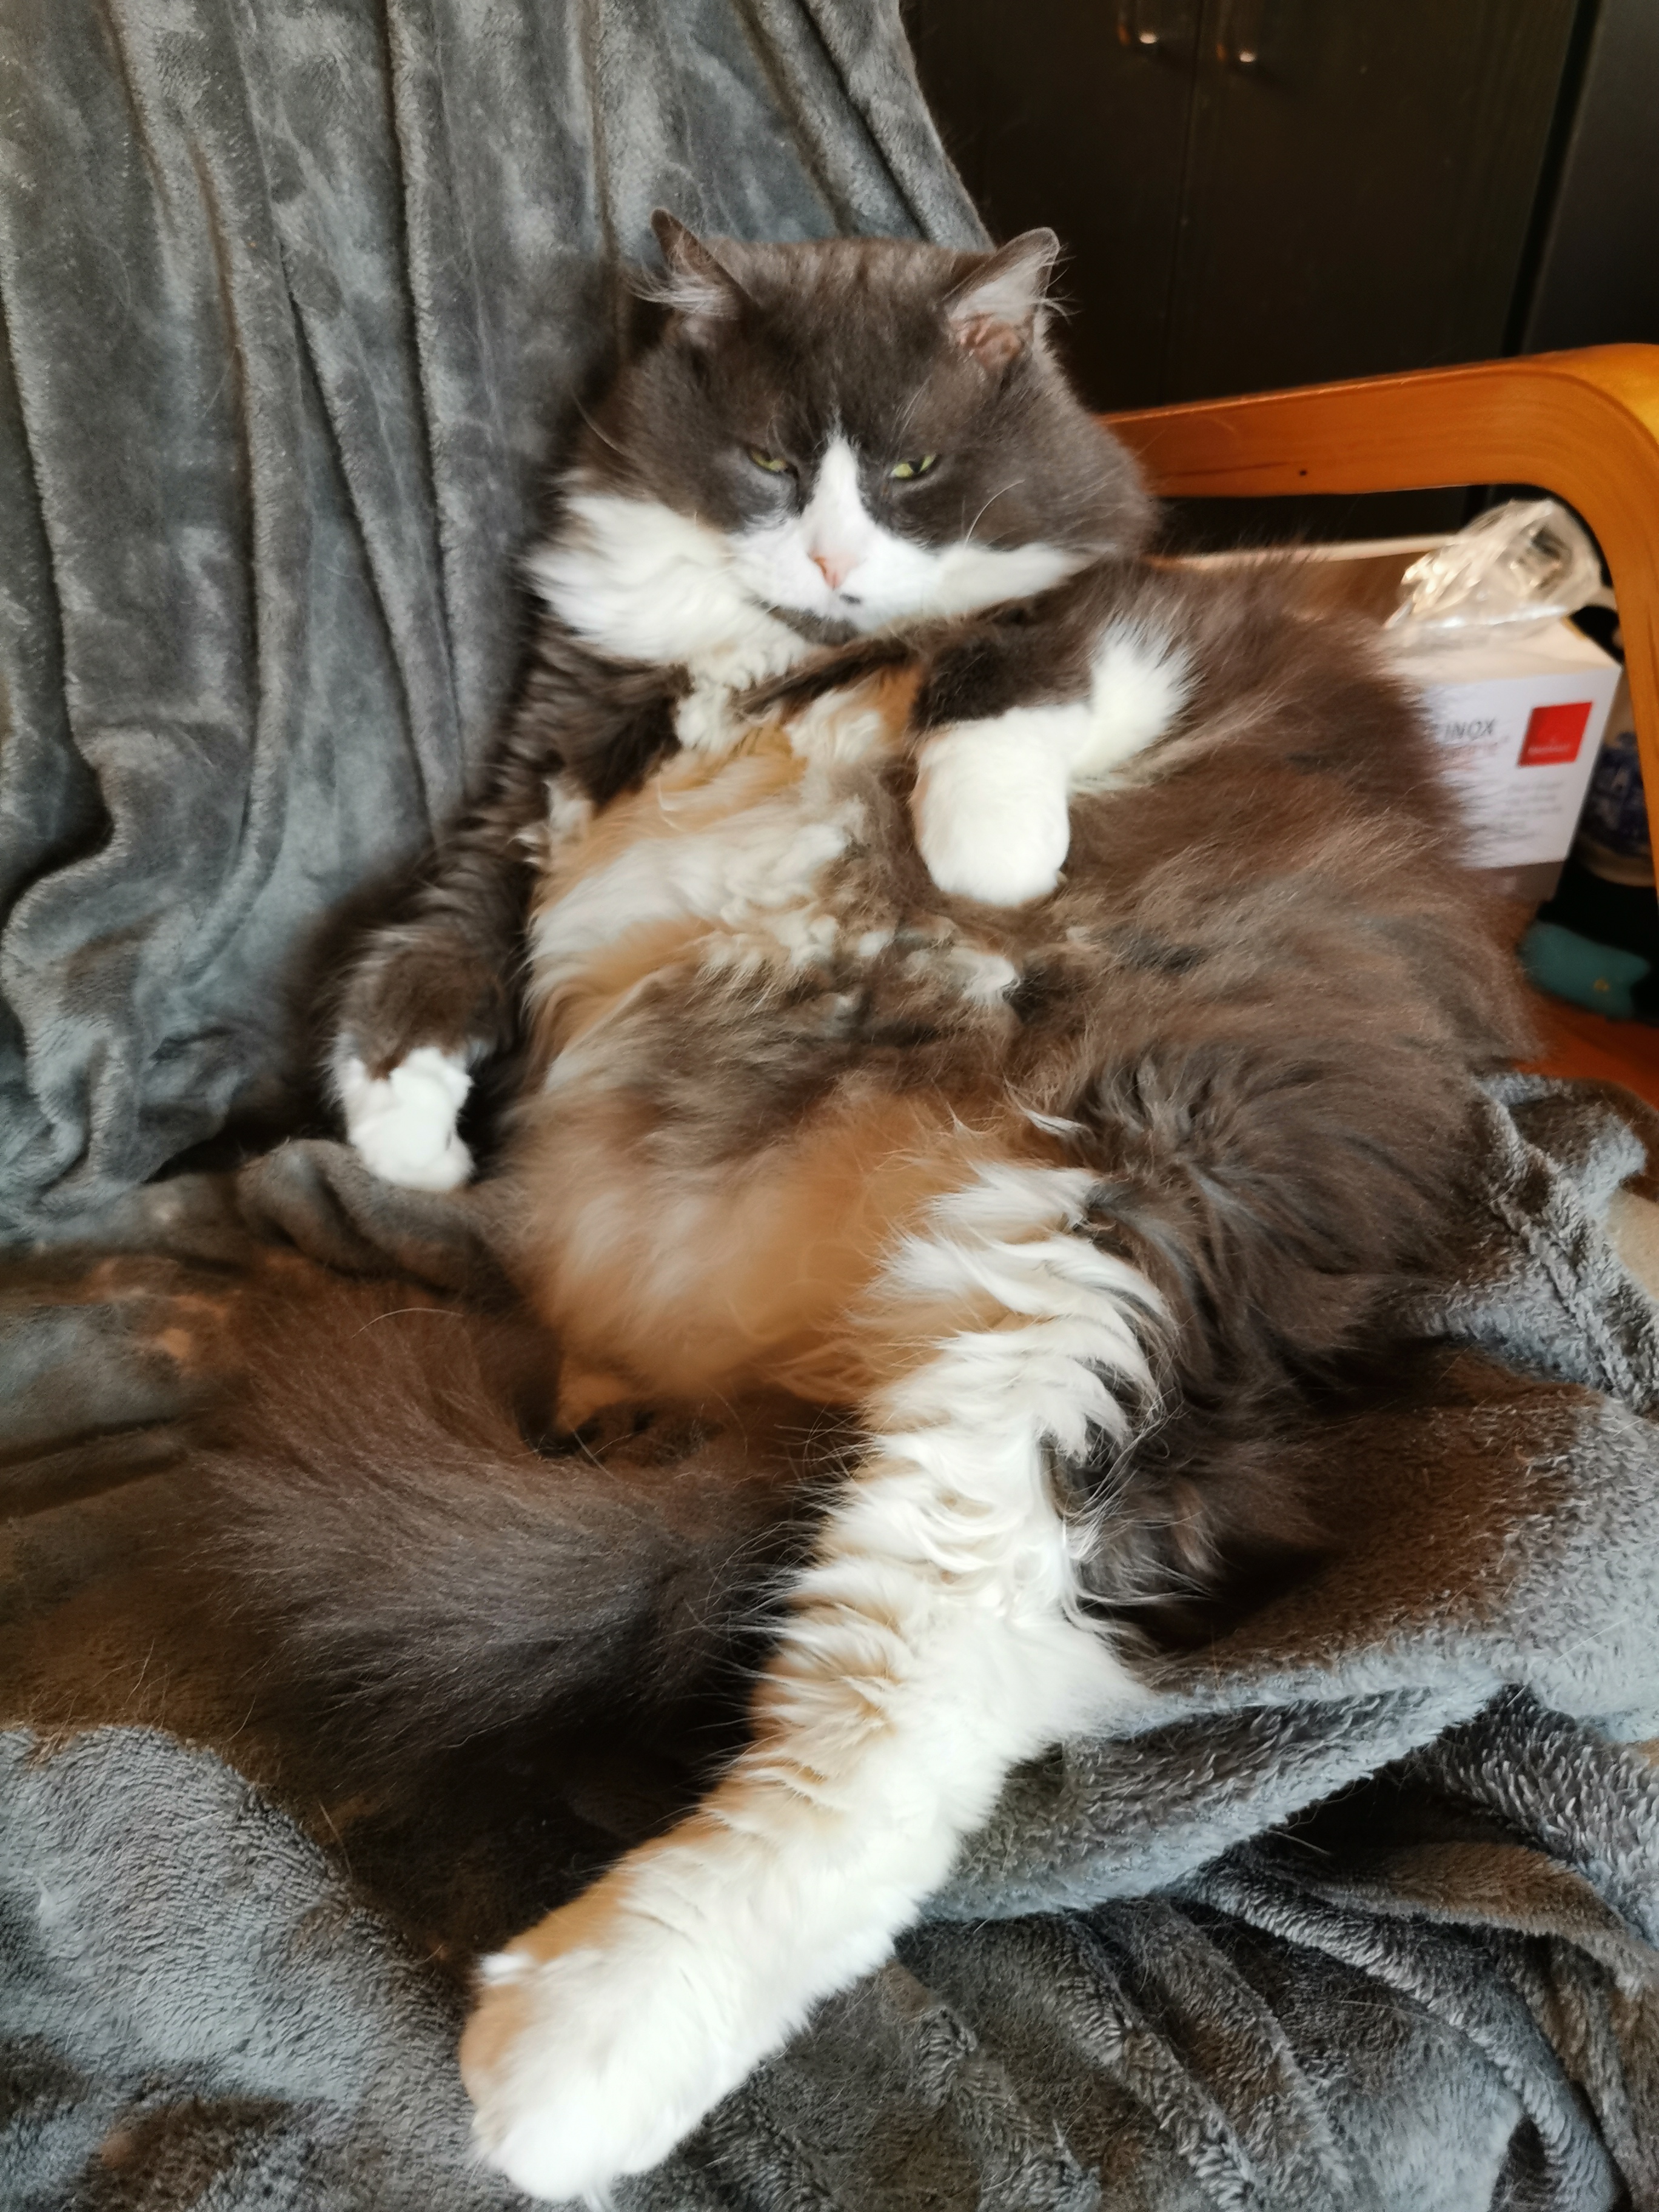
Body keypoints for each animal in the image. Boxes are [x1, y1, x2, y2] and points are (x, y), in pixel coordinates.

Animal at [322, 212, 1529, 2201]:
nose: (827, 555)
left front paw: (986, 854)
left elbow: (1003, 675)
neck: (783, 668)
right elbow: (425, 956)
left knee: (893, 1732)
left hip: (1101, 1262)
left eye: (900, 474)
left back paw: (573, 2060)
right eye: (761, 461)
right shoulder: (534, 795)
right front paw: (406, 1141)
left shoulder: (1153, 624)